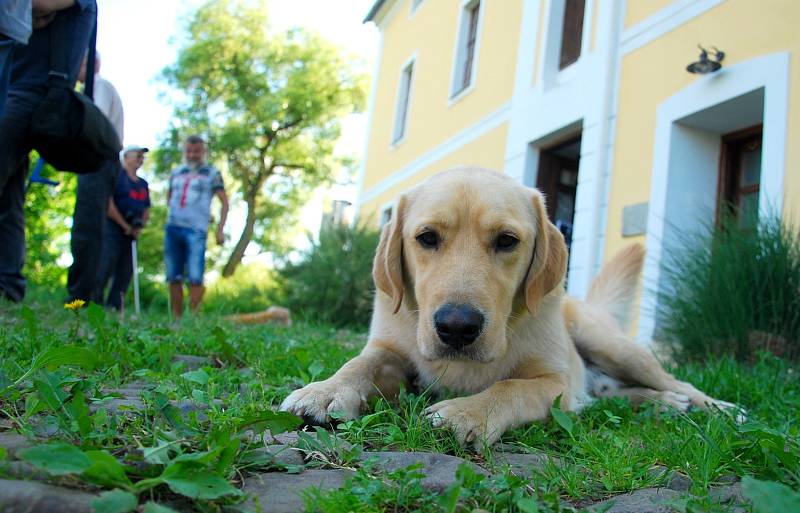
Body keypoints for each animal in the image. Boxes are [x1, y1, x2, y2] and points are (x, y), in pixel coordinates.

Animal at [280, 166, 736, 446]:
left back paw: (717, 407)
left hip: (611, 345)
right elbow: (361, 363)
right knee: (611, 395)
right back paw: (662, 404)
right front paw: (325, 390)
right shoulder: (390, 350)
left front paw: (467, 413)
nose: (457, 327)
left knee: (678, 382)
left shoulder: (554, 381)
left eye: (506, 240)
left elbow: (510, 387)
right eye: (427, 237)